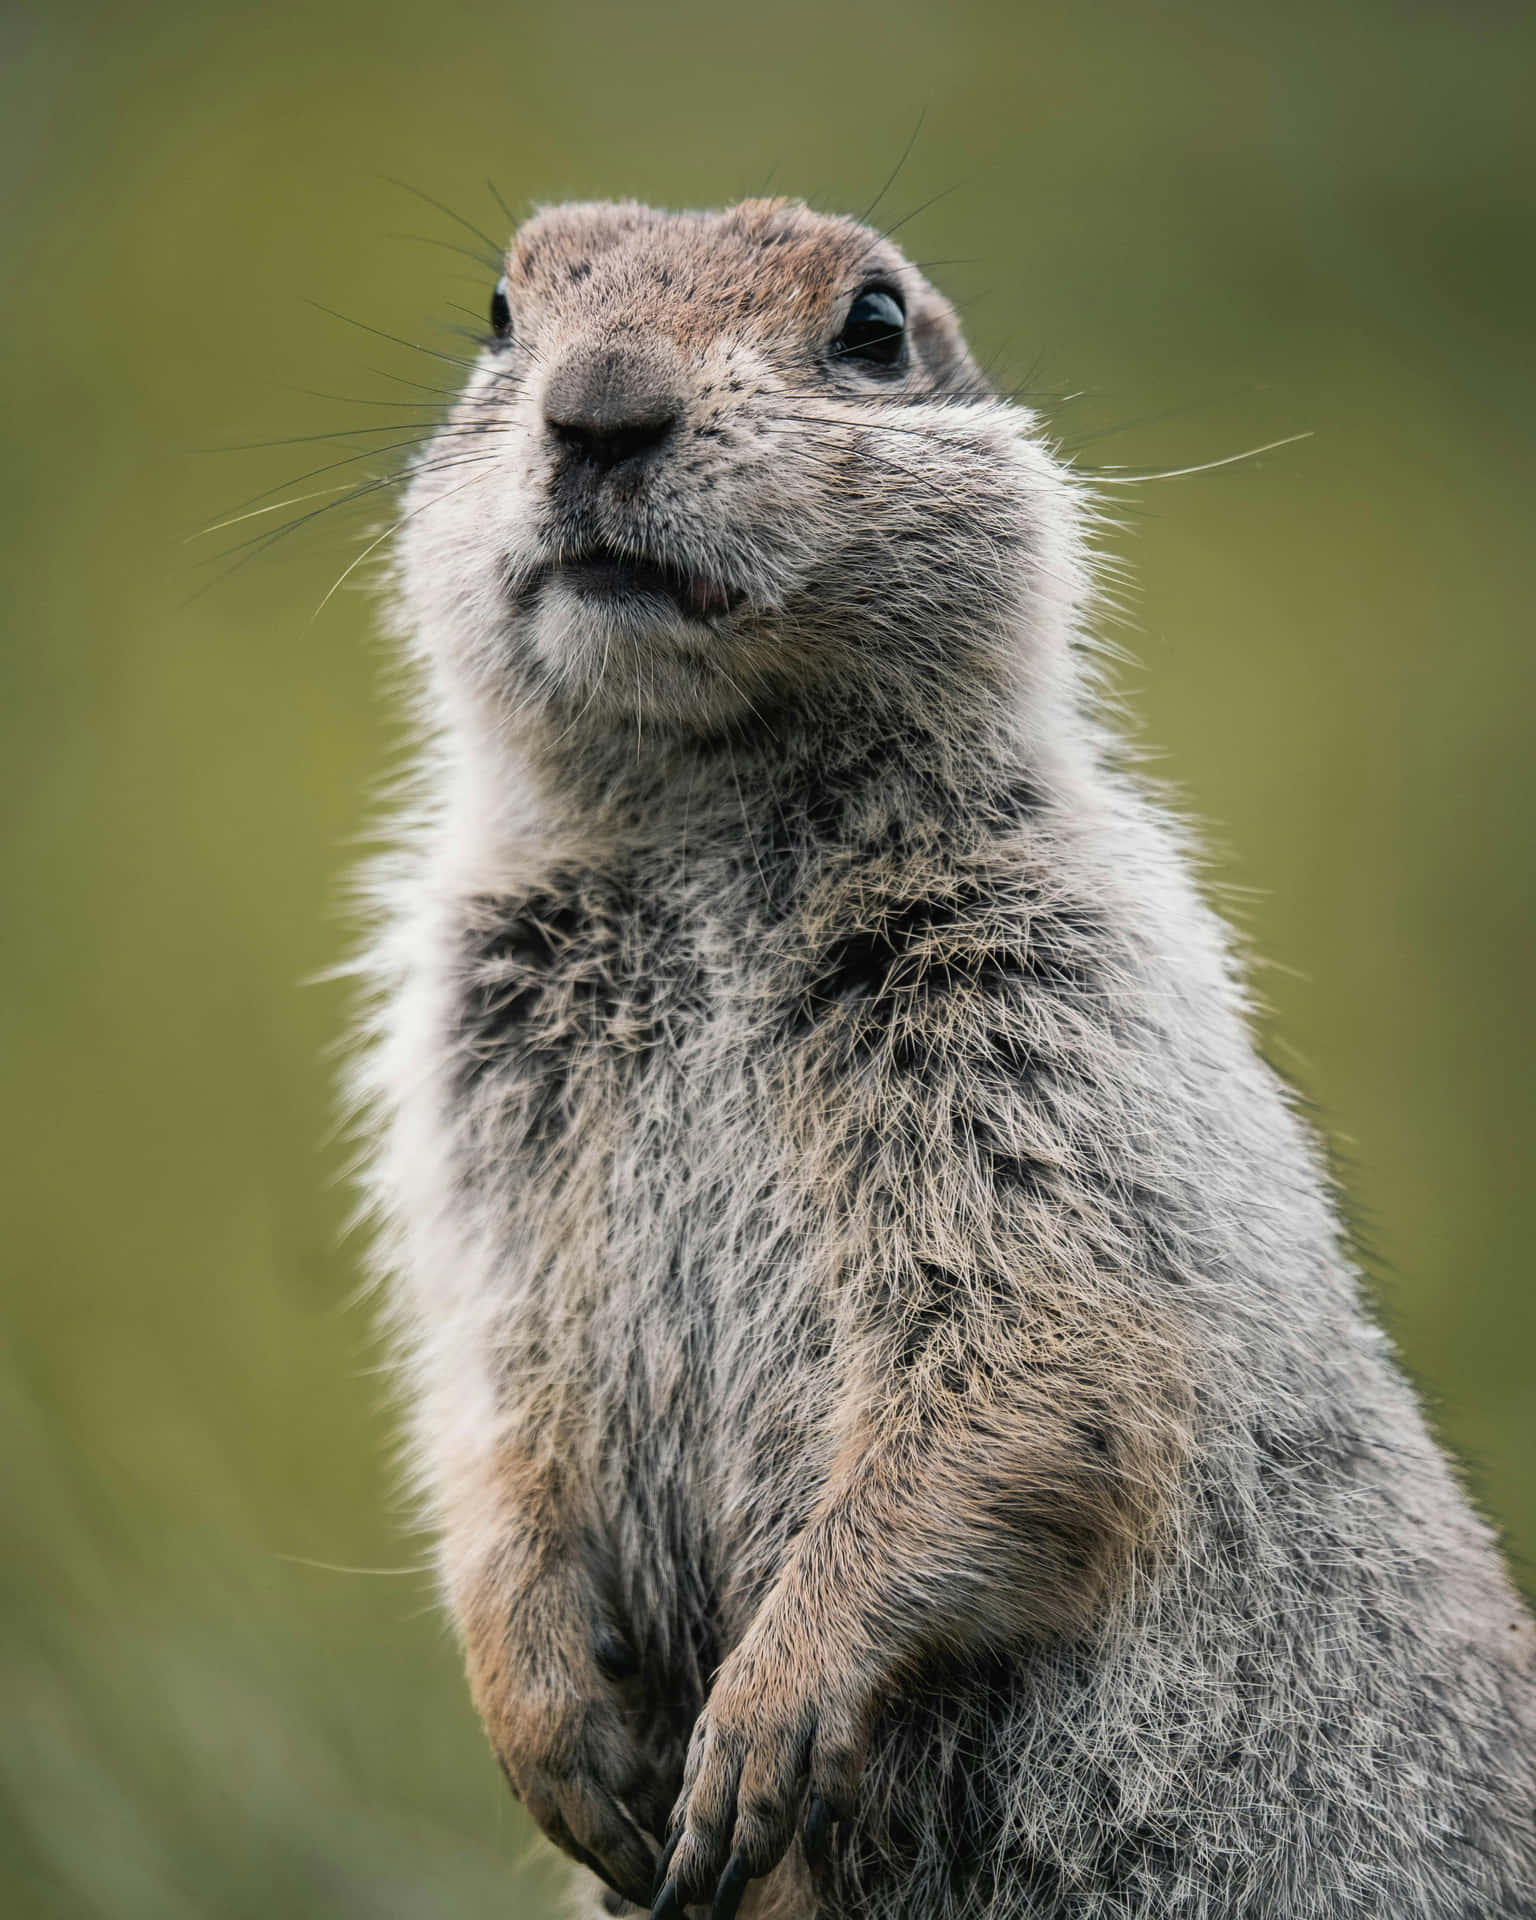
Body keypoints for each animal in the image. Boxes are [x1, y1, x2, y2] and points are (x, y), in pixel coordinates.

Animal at [353, 202, 1536, 1912]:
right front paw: (551, 1728)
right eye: (502, 313)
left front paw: (759, 1725)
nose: (600, 405)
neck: (705, 831)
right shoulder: (475, 1067)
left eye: (874, 327)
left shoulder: (1041, 1005)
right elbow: (492, 1390)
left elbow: (1030, 1354)